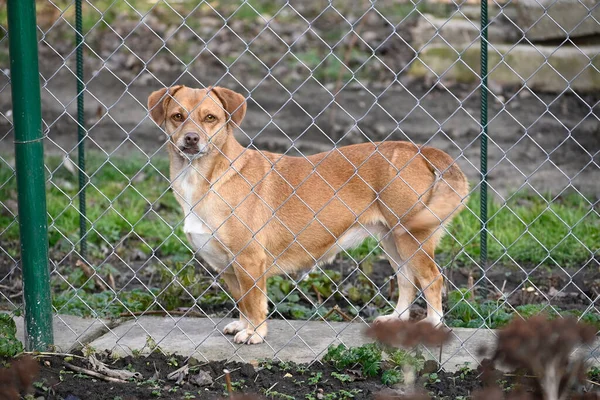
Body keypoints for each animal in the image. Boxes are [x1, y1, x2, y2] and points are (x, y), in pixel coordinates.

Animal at [149, 86, 468, 346]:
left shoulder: (249, 260)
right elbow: (243, 302)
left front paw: (255, 334)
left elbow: (255, 303)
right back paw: (396, 319)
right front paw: (243, 325)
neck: (206, 178)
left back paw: (433, 324)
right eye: (177, 116)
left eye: (210, 118)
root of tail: (419, 149)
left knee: (432, 279)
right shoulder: (230, 269)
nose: (191, 139)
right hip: (393, 240)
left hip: (412, 238)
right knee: (406, 280)